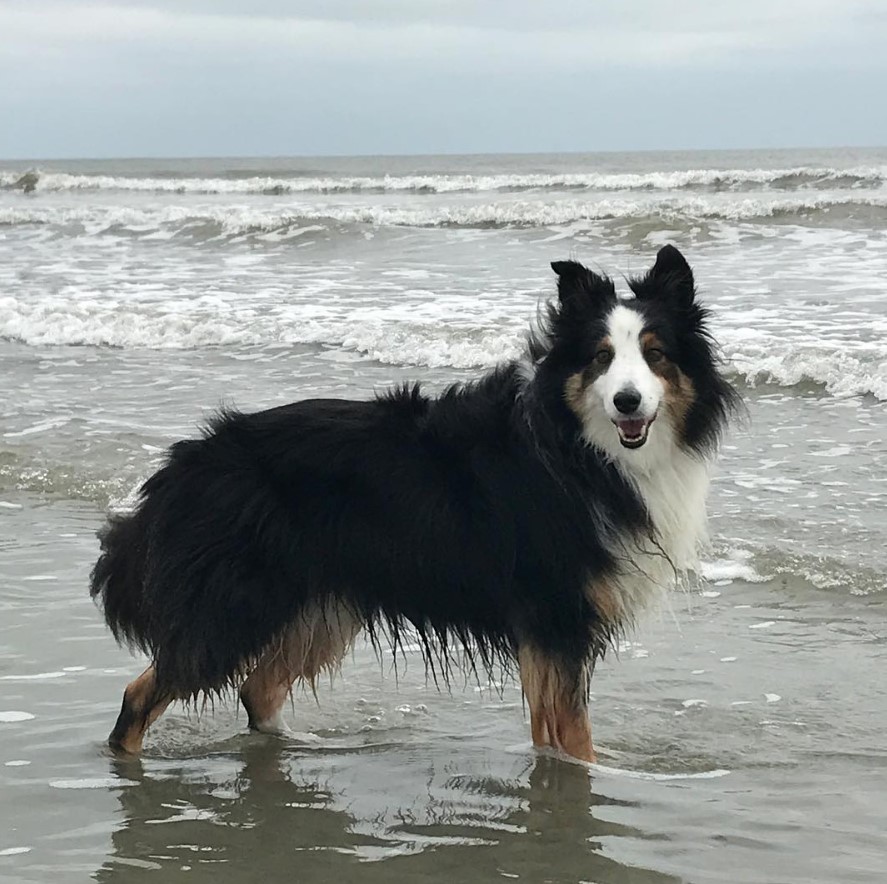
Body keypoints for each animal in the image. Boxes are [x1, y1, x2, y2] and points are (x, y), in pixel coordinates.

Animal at [90, 245, 740, 756]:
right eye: (601, 357)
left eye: (656, 354)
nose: (629, 403)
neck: (581, 449)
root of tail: (186, 461)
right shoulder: (555, 615)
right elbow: (570, 735)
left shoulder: (550, 627)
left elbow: (553, 731)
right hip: (238, 605)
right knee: (140, 694)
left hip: (323, 603)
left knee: (257, 688)